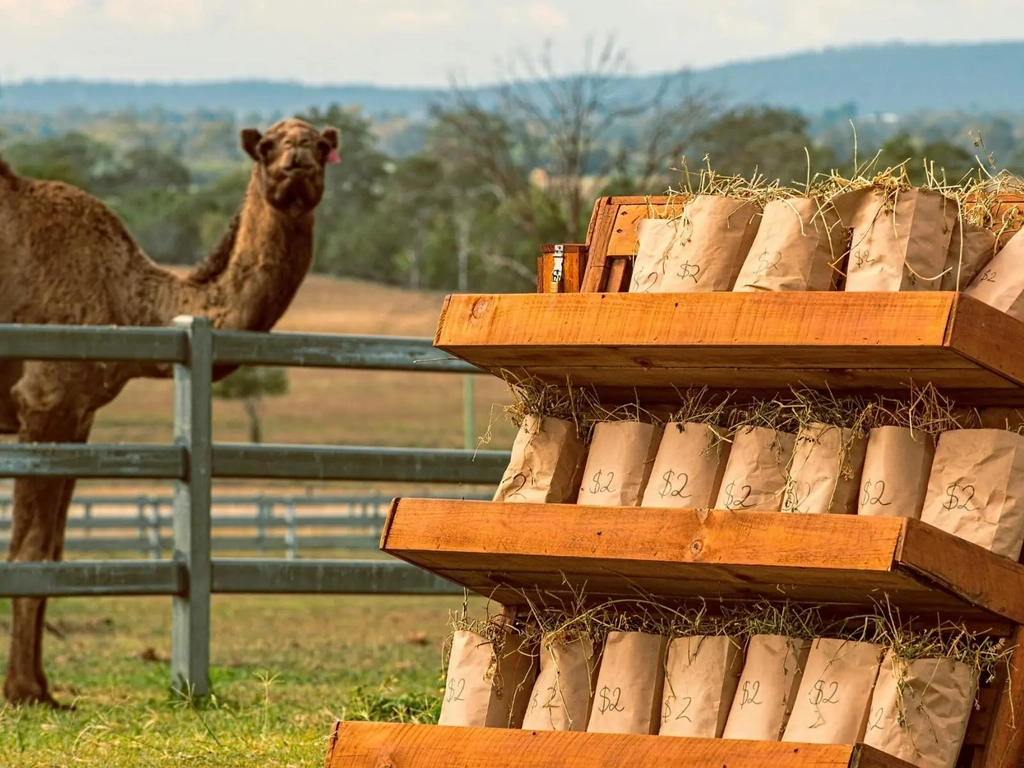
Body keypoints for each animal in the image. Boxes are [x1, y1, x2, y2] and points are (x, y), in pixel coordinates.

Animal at [0, 117, 344, 708]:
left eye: (320, 146)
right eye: (267, 146)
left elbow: (56, 550)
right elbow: (30, 549)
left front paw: (43, 686)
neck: (128, 298)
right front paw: (24, 692)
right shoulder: (46, 400)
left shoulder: (79, 414)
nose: (297, 162)